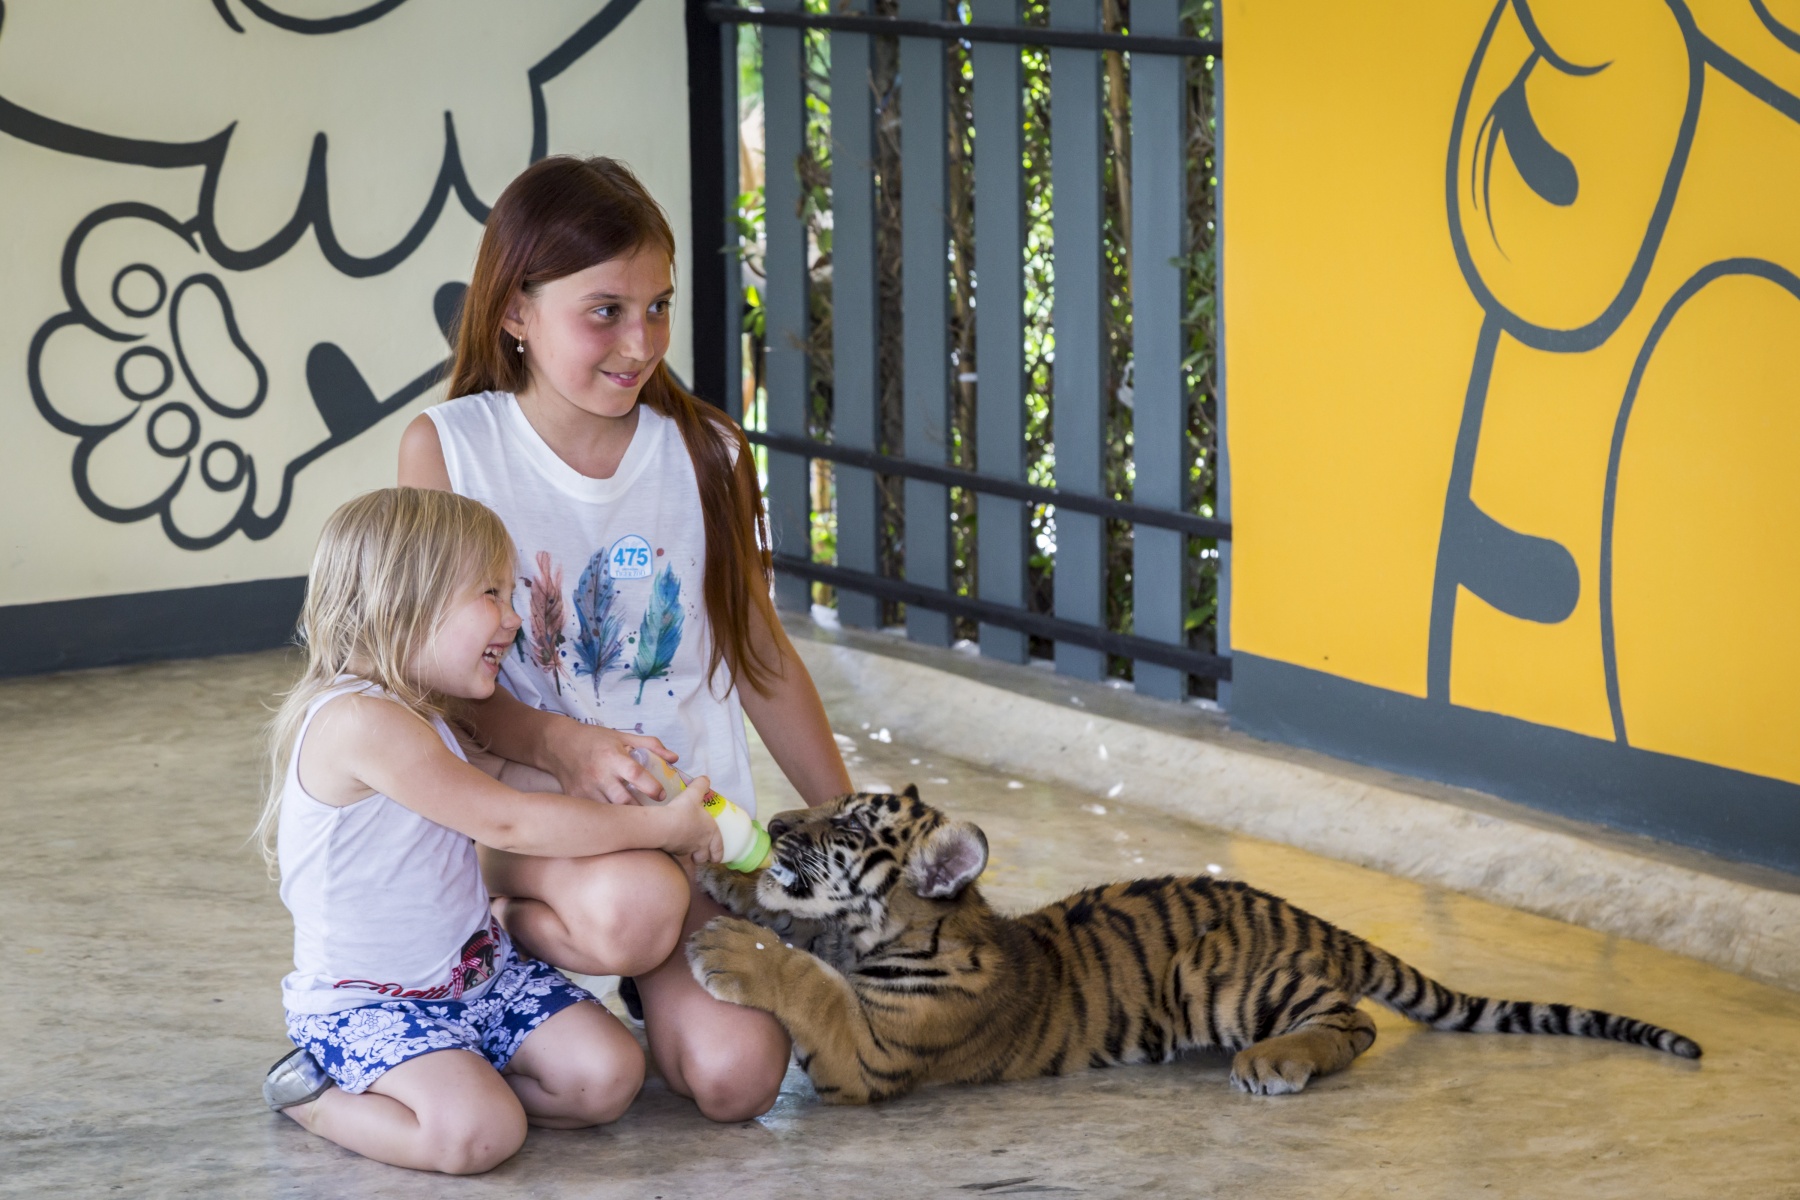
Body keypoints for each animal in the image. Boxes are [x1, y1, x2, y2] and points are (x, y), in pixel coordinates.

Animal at [685, 786, 1702, 1104]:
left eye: (849, 823)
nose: (779, 823)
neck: (877, 929)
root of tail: (1308, 915)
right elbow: (797, 931)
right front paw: (721, 874)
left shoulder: (873, 1049)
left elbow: (808, 981)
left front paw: (728, 949)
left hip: (1222, 983)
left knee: (1355, 1020)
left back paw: (1276, 1064)